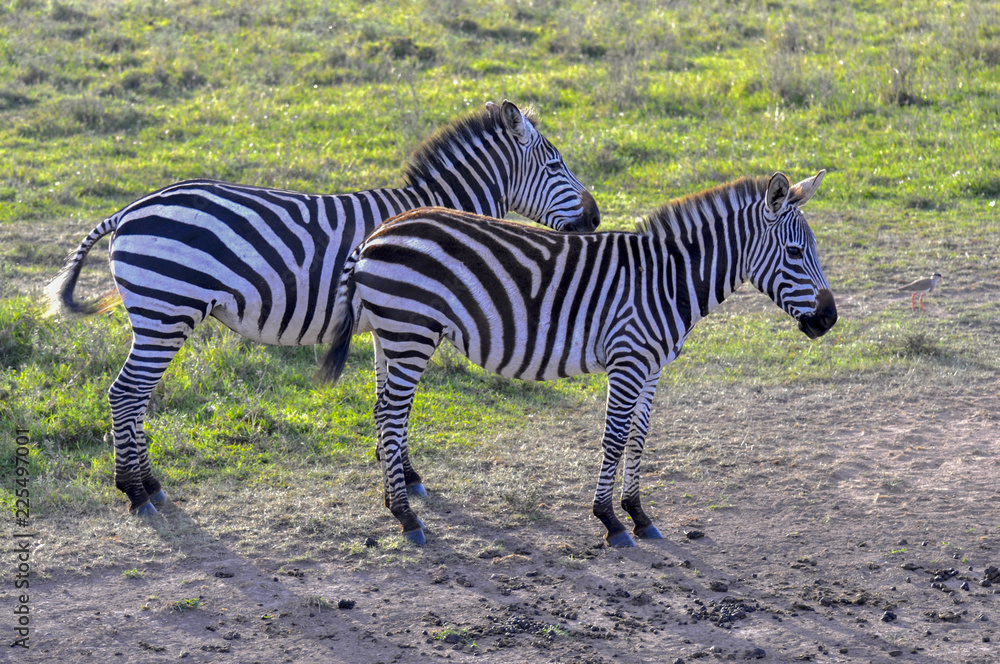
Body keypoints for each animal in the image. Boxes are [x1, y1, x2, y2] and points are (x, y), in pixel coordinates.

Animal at [45, 100, 600, 517]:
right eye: (556, 165)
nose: (596, 218)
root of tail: (128, 210)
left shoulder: (391, 325)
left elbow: (386, 402)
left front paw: (400, 472)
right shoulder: (410, 320)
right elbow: (398, 404)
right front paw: (403, 478)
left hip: (157, 317)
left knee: (135, 398)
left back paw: (151, 485)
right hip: (166, 311)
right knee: (125, 395)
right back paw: (135, 491)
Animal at [321, 171, 837, 546]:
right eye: (795, 252)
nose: (830, 319)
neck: (667, 281)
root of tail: (378, 231)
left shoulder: (651, 368)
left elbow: (639, 440)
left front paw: (639, 515)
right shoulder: (628, 361)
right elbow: (614, 439)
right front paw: (609, 520)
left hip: (391, 335)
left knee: (383, 412)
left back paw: (394, 499)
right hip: (411, 332)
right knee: (391, 417)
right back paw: (406, 517)